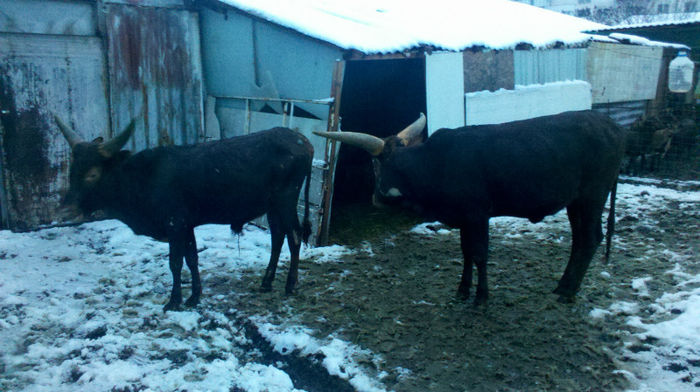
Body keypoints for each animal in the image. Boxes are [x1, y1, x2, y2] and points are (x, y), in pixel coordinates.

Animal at [56, 115, 314, 310]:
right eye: (72, 170)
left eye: (92, 174)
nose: (65, 211)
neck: (142, 178)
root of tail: (302, 140)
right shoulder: (187, 225)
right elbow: (192, 259)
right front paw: (194, 296)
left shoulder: (175, 224)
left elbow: (176, 262)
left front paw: (174, 300)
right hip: (273, 207)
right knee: (277, 237)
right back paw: (267, 281)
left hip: (286, 201)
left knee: (294, 236)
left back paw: (290, 285)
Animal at [314, 112, 628, 304]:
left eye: (378, 164)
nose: (381, 197)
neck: (436, 164)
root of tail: (610, 124)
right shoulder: (463, 217)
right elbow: (465, 252)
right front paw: (463, 289)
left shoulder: (478, 215)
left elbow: (478, 254)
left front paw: (481, 296)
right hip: (576, 201)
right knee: (581, 240)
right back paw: (565, 285)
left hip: (592, 196)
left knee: (590, 238)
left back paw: (567, 291)